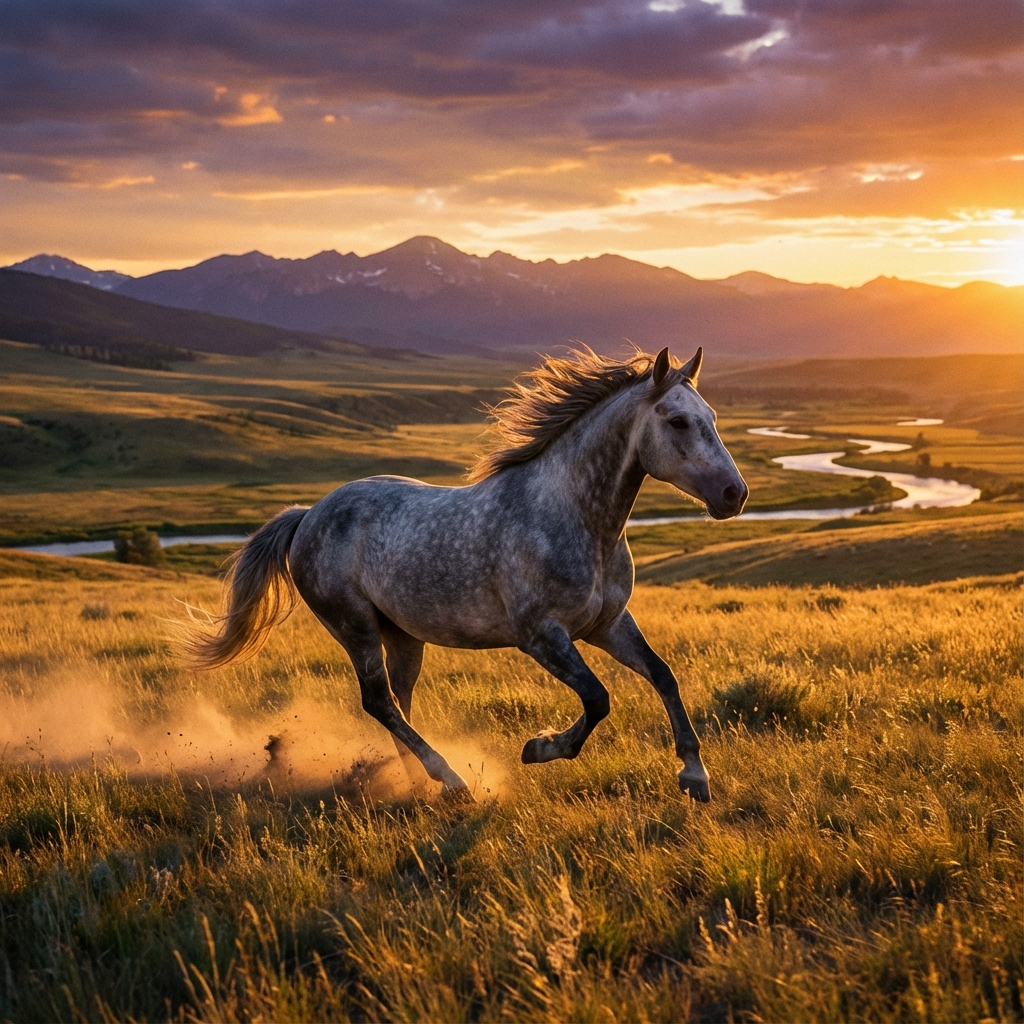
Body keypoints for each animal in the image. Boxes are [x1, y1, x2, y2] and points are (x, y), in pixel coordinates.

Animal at [188, 345, 748, 802]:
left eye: (712, 417)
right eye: (677, 421)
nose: (734, 495)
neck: (576, 519)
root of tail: (307, 515)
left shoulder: (607, 625)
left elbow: (663, 676)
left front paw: (695, 776)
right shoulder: (541, 636)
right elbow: (597, 698)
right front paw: (539, 748)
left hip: (402, 635)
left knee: (398, 702)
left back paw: (415, 782)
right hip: (354, 626)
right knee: (378, 701)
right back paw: (451, 779)